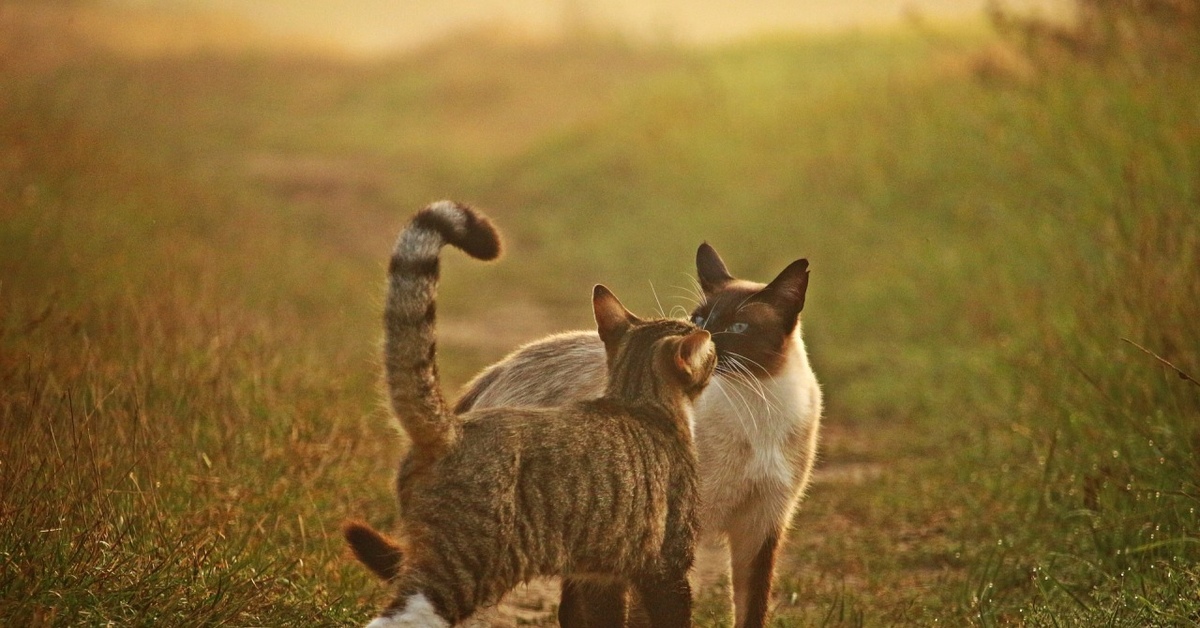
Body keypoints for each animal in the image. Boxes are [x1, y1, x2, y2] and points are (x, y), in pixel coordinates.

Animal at [350, 202, 720, 628]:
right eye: (708, 348)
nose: (714, 338)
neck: (638, 400)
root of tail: (452, 428)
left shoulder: (600, 576)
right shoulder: (667, 568)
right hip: (462, 565)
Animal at [453, 242, 820, 628]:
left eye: (738, 327)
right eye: (700, 320)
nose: (709, 342)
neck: (755, 403)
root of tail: (492, 375)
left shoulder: (760, 529)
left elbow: (751, 613)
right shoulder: (665, 547)